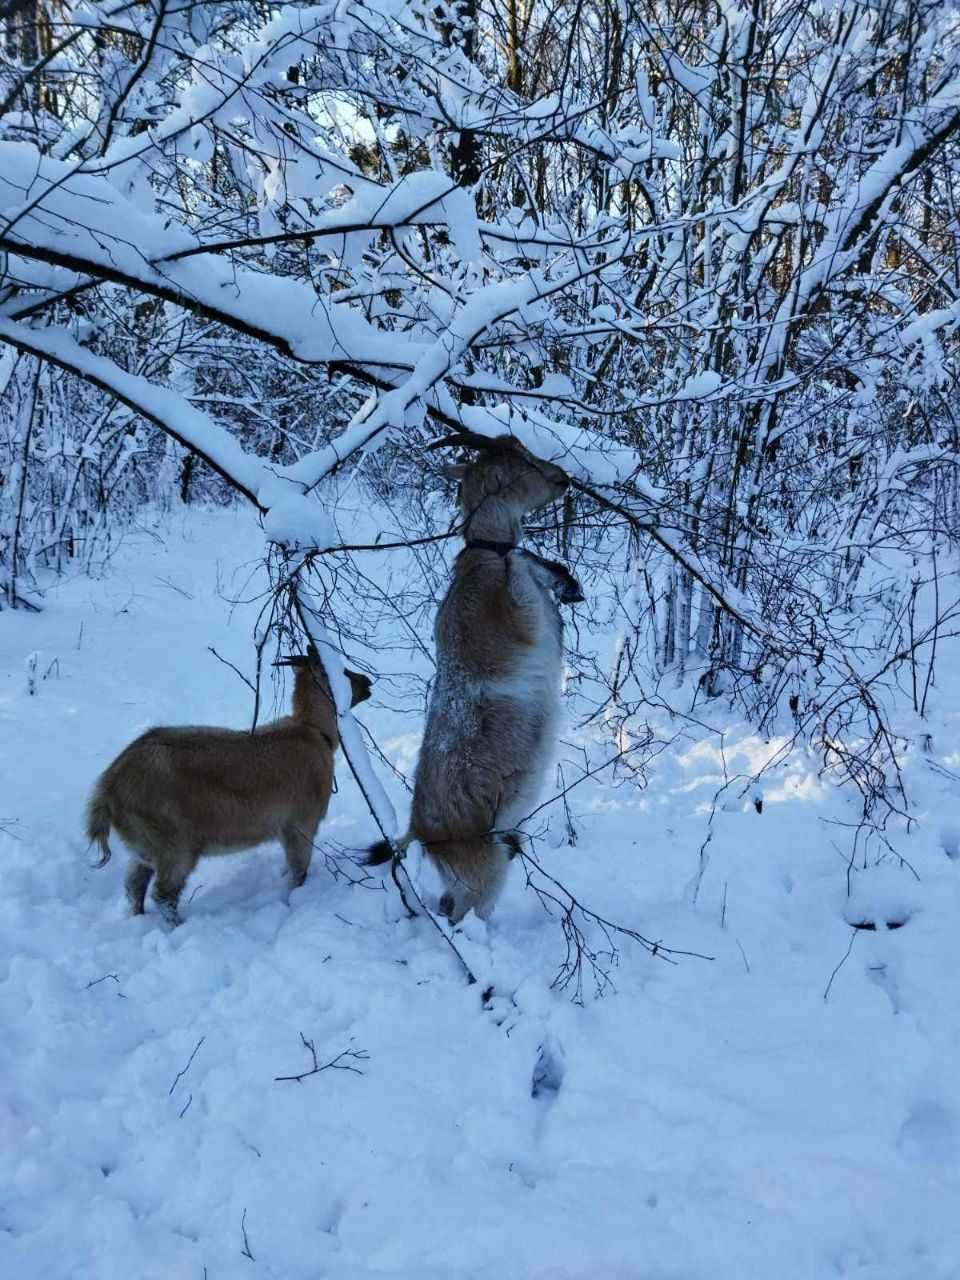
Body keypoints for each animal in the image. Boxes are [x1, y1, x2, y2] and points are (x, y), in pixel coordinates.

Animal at [86, 655, 371, 926]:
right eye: (342, 671)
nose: (368, 682)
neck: (314, 733)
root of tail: (108, 787)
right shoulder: (300, 826)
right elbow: (298, 872)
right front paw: (294, 899)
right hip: (174, 845)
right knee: (164, 894)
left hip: (144, 846)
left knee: (134, 883)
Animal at [368, 435, 583, 926]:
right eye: (525, 462)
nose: (563, 477)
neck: (484, 555)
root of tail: (419, 832)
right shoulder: (517, 620)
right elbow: (520, 566)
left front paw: (564, 580)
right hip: (485, 871)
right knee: (464, 912)